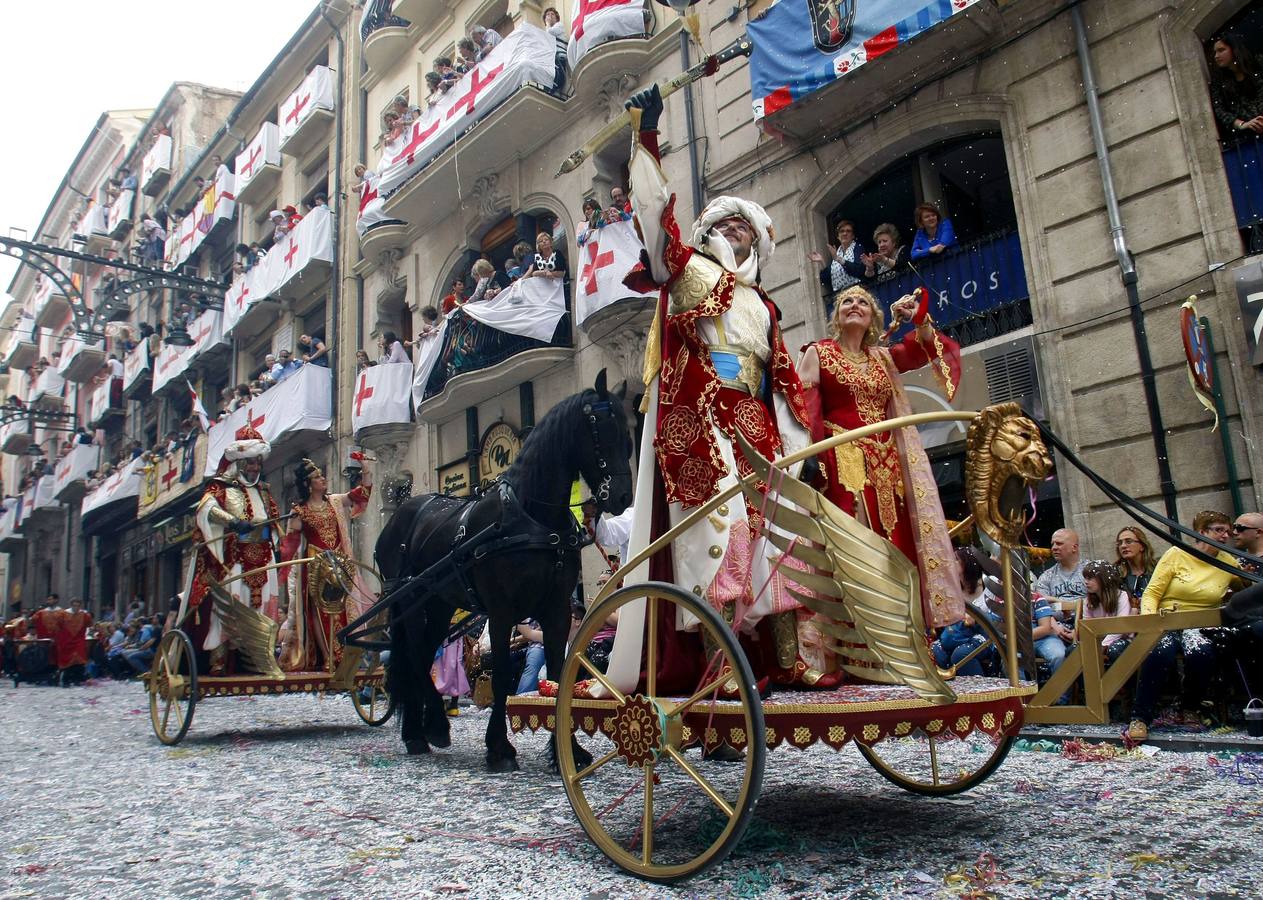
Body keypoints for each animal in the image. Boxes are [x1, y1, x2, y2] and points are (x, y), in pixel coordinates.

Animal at [371, 368, 631, 767]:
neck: (531, 518)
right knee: (415, 656)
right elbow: (501, 674)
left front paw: (567, 751)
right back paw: (427, 729)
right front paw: (499, 747)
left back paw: (422, 729)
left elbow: (558, 671)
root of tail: (401, 515)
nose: (622, 497)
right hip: (411, 603)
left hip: (440, 605)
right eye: (602, 429)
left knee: (422, 655)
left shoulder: (556, 609)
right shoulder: (501, 610)